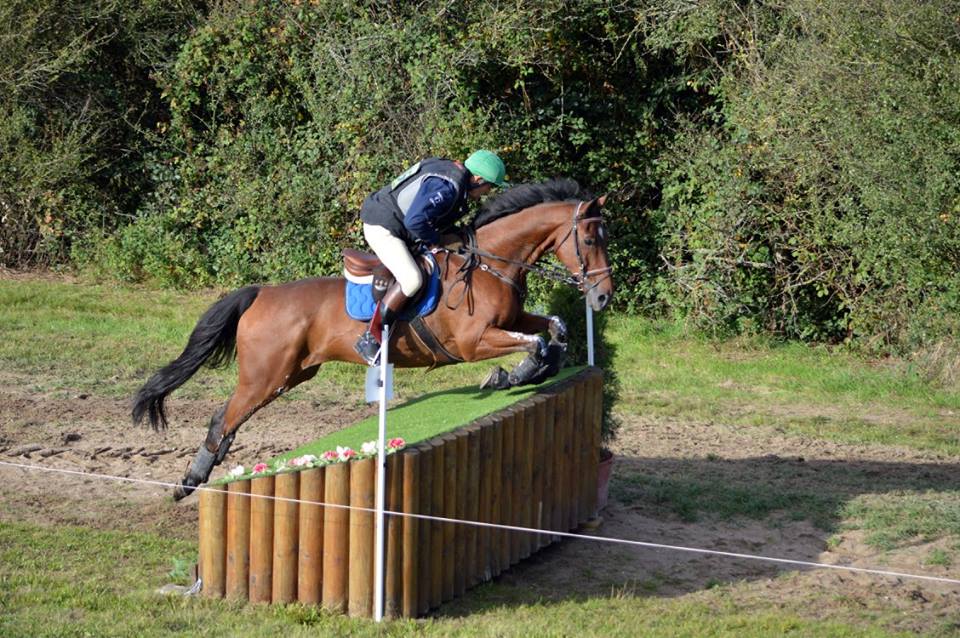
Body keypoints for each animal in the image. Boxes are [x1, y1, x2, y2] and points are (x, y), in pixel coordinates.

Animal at [131, 179, 616, 500]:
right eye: (590, 238)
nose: (603, 296)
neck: (490, 263)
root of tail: (262, 293)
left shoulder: (513, 320)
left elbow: (555, 328)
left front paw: (531, 370)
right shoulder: (473, 342)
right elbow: (534, 344)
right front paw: (508, 375)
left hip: (292, 374)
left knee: (226, 416)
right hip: (265, 376)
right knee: (226, 416)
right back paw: (190, 481)